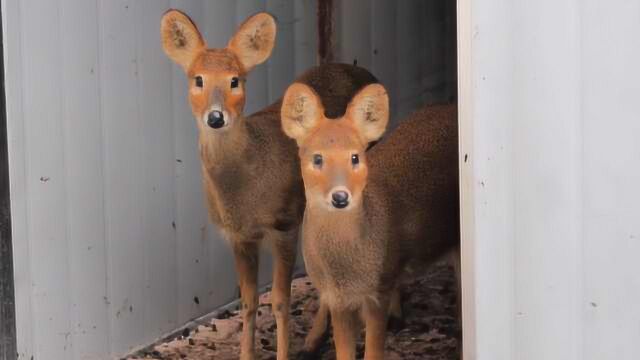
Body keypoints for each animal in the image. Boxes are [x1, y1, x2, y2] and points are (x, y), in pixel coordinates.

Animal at [160, 9, 378, 358]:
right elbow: (249, 301)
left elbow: (279, 301)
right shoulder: (238, 236)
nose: (216, 117)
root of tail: (361, 69)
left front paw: (284, 352)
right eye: (198, 79)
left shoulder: (284, 223)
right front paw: (246, 354)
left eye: (235, 80)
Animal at [282, 82, 460, 360]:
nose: (341, 196)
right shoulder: (339, 298)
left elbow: (373, 352)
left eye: (355, 157)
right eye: (317, 158)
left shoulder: (378, 290)